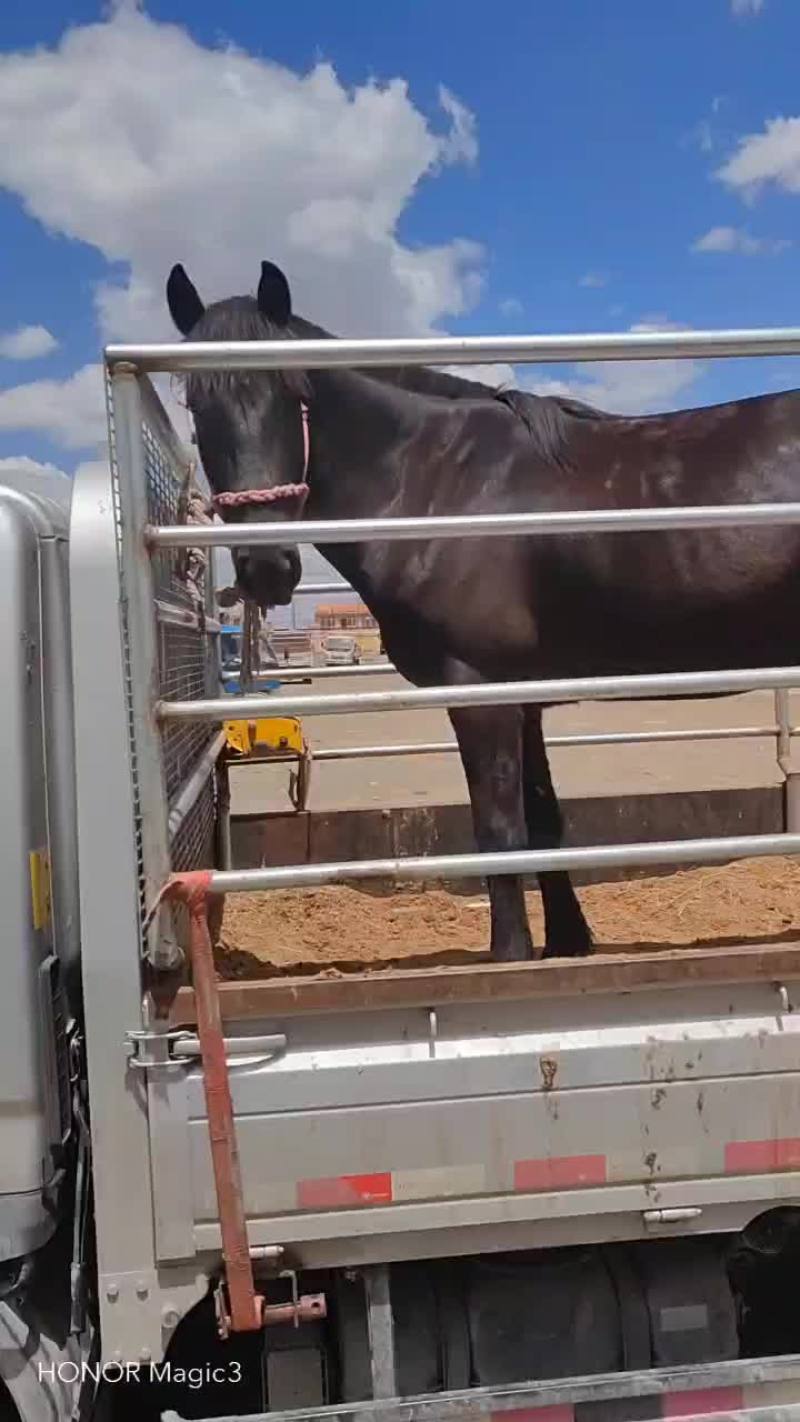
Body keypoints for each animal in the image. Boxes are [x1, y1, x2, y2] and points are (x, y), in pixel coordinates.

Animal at [165, 258, 800, 963]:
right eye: (197, 406)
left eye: (294, 392)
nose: (267, 568)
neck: (437, 484)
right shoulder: (522, 696)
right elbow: (543, 820)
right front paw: (566, 946)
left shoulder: (480, 692)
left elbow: (499, 831)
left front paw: (511, 958)